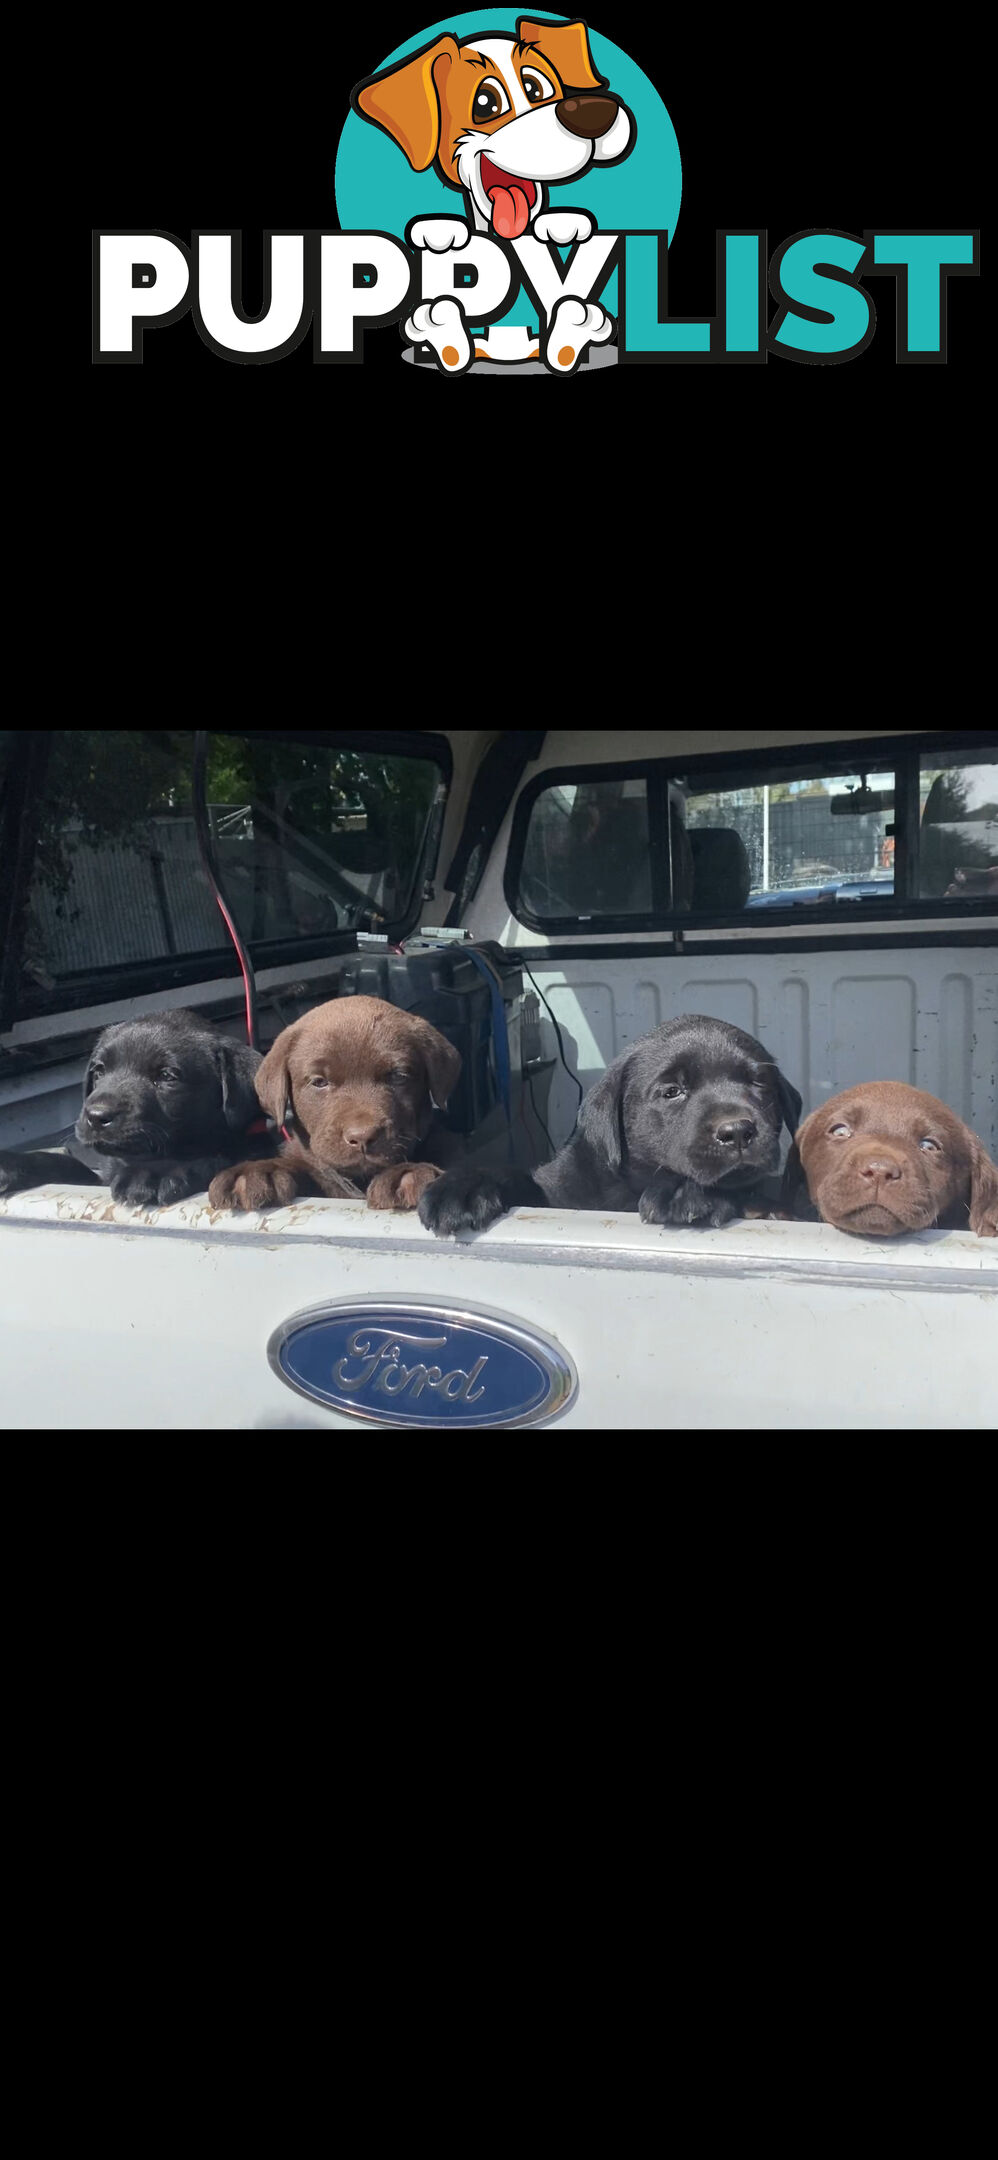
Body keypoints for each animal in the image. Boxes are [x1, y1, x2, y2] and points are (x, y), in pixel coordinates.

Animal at [0, 1006, 263, 1209]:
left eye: (167, 1076)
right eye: (99, 1070)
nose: (96, 1116)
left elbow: (216, 1157)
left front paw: (153, 1173)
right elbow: (68, 1165)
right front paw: (11, 1163)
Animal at [419, 1019, 803, 1244]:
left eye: (758, 1083)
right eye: (672, 1091)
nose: (737, 1131)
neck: (629, 1189)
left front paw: (687, 1194)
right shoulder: (556, 1191)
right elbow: (516, 1178)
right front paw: (461, 1189)